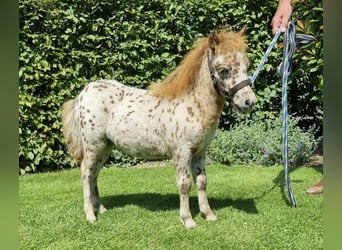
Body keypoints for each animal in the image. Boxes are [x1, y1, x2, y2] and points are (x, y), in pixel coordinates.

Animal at [61, 29, 255, 229]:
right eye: (224, 70)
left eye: (247, 66)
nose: (248, 102)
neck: (191, 104)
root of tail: (83, 94)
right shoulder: (181, 152)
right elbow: (184, 184)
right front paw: (187, 220)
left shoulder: (200, 152)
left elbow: (201, 182)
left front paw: (208, 214)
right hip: (93, 146)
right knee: (86, 173)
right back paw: (90, 215)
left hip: (105, 148)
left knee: (94, 175)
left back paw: (101, 208)